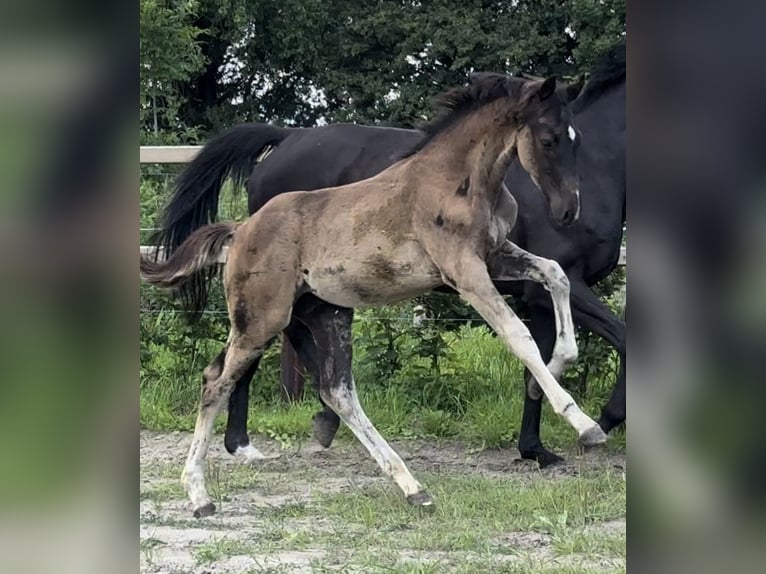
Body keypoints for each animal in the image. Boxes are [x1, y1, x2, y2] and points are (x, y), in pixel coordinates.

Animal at [142, 74, 608, 517]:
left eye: (577, 139)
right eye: (548, 139)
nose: (568, 211)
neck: (460, 180)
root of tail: (240, 231)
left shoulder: (495, 256)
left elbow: (556, 275)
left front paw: (559, 363)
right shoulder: (465, 271)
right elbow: (519, 335)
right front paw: (584, 424)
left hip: (325, 314)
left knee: (336, 391)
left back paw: (412, 488)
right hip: (261, 318)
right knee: (217, 382)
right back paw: (199, 495)